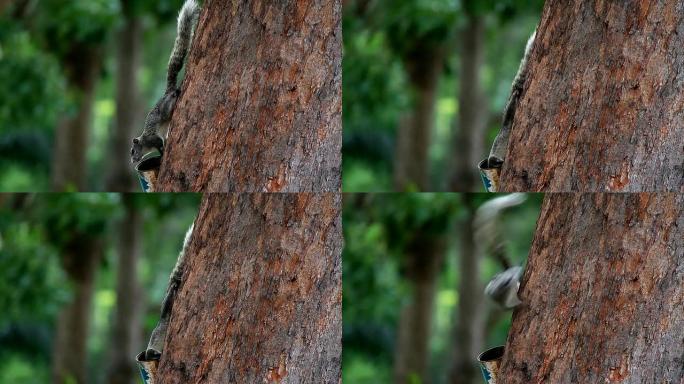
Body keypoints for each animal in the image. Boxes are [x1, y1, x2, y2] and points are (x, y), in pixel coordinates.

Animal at [130, 0, 200, 164]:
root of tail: (167, 93)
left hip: (166, 108)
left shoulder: (153, 139)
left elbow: (160, 144)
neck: (144, 143)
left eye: (133, 151)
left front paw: (162, 154)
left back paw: (177, 92)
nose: (132, 161)